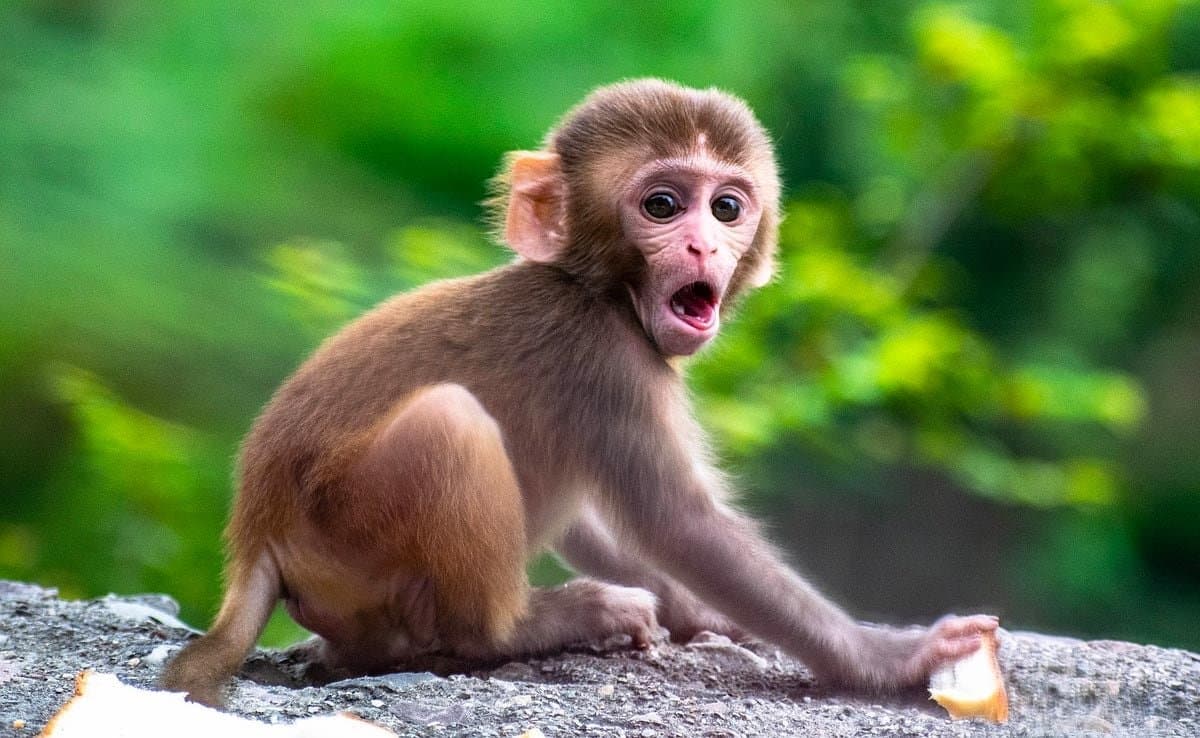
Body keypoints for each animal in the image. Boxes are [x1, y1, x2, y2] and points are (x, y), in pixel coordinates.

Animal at [161, 79, 998, 708]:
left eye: (727, 207)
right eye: (662, 205)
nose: (703, 246)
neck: (596, 289)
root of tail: (257, 537)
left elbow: (602, 519)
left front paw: (697, 612)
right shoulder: (608, 362)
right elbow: (678, 522)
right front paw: (887, 657)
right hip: (347, 532)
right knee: (450, 423)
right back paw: (527, 627)